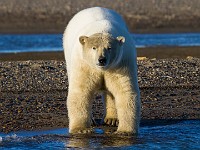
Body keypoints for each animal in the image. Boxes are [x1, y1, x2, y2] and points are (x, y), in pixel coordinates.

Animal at [63, 6, 140, 135]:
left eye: (109, 48)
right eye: (94, 48)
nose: (102, 60)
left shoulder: (121, 63)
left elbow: (125, 91)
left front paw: (124, 131)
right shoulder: (84, 64)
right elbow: (81, 91)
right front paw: (81, 129)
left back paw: (112, 119)